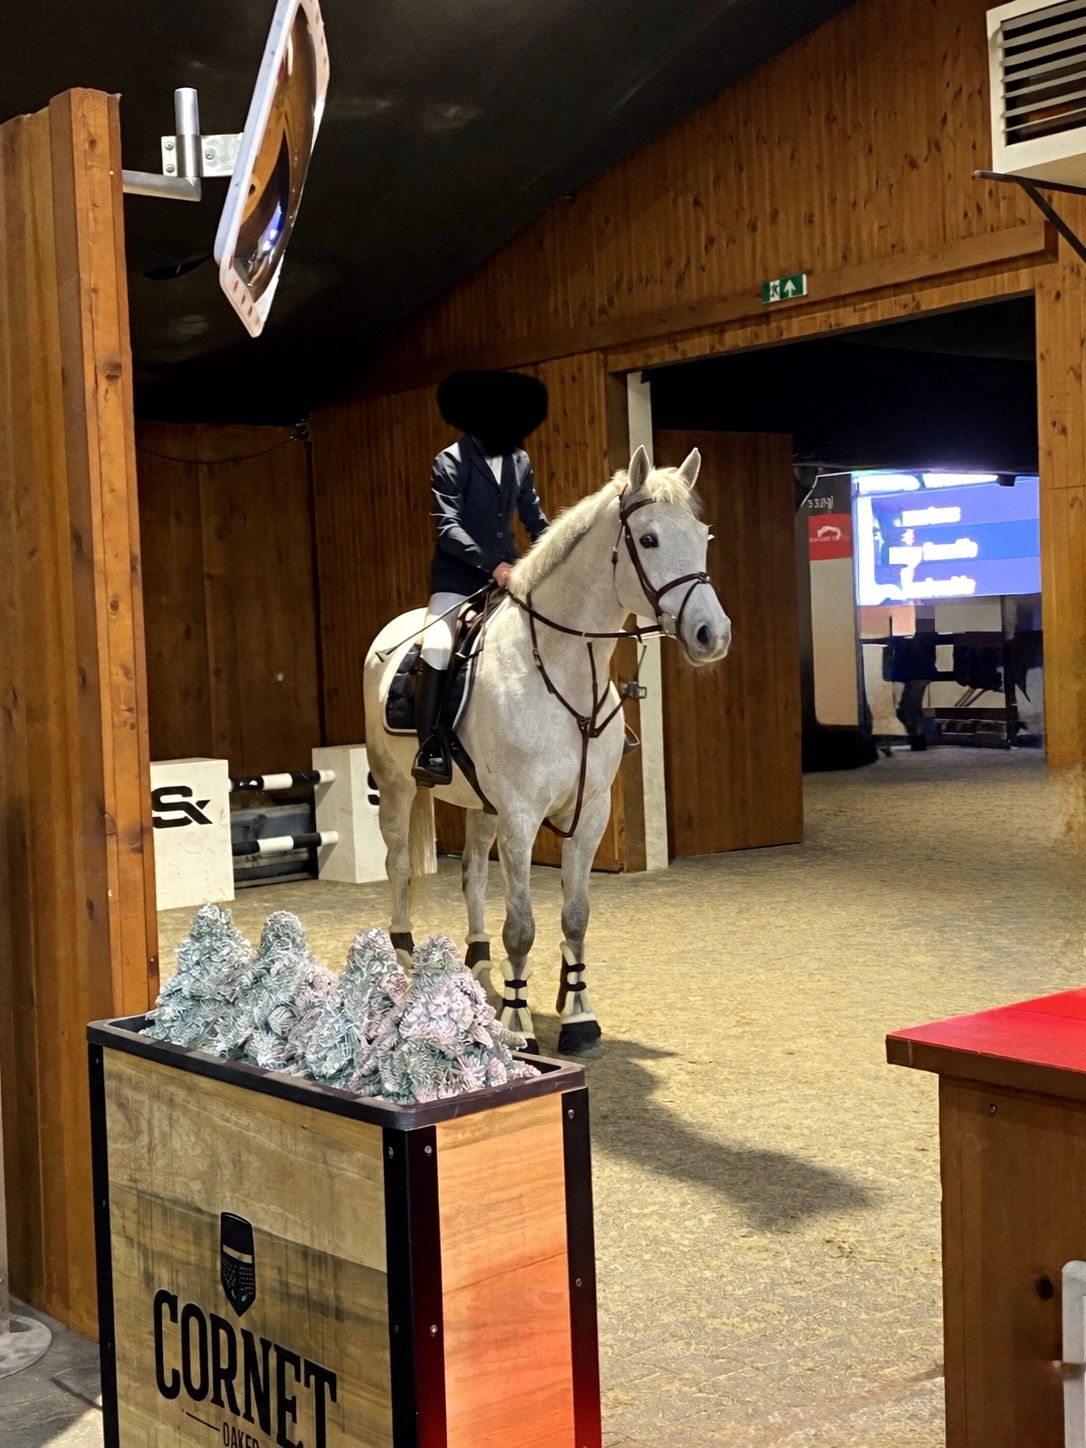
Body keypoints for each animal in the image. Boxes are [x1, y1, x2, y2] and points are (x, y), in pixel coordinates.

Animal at [362, 445, 731, 1054]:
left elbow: (575, 916)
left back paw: (478, 965)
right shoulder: (520, 815)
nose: (712, 635)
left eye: (702, 535)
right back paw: (403, 961)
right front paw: (518, 1025)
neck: (564, 670)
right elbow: (522, 926)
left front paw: (578, 1014)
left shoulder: (590, 811)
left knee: (472, 875)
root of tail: (392, 633)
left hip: (482, 806)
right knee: (398, 868)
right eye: (649, 539)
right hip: (396, 789)